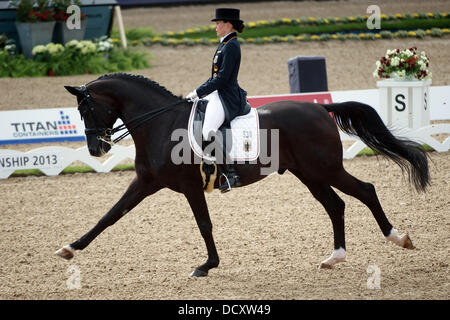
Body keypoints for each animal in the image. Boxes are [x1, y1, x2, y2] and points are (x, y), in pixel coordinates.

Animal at [57, 73, 428, 278]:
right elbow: (110, 216)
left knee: (365, 191)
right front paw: (70, 248)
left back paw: (399, 238)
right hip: (309, 174)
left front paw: (206, 265)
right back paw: (334, 258)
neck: (159, 124)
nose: (96, 150)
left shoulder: (190, 187)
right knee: (335, 205)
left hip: (326, 168)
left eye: (86, 108)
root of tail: (320, 109)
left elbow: (204, 224)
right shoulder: (146, 183)